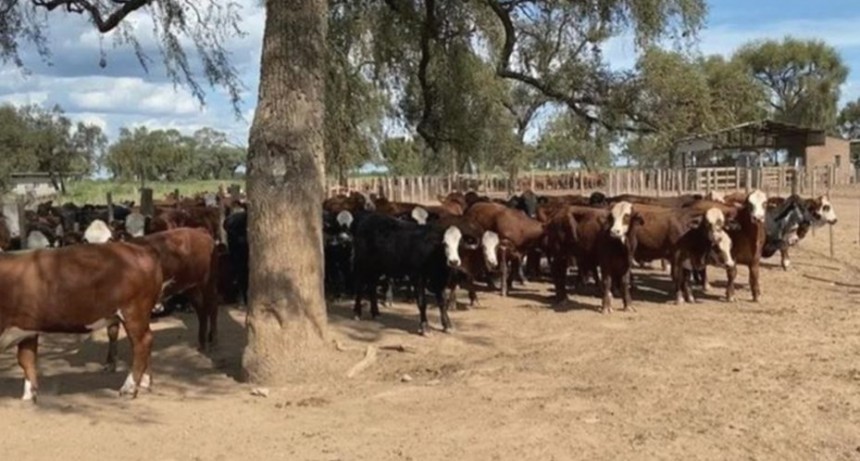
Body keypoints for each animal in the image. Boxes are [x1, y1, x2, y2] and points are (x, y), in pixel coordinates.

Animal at [104, 226, 222, 370]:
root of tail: (200, 230)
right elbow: (112, 332)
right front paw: (110, 362)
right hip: (190, 286)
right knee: (201, 310)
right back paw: (202, 343)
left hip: (208, 281)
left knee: (213, 306)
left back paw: (214, 341)